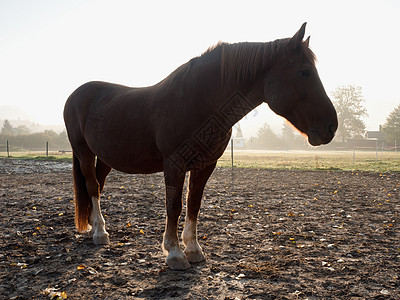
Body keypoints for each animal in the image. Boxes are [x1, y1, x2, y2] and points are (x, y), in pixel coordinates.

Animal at [63, 23, 338, 270]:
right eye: (304, 72)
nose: (331, 127)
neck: (200, 102)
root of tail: (76, 95)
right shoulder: (174, 164)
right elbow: (174, 205)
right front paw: (174, 253)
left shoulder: (205, 165)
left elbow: (193, 203)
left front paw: (193, 249)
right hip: (84, 152)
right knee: (93, 186)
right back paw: (100, 233)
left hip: (105, 157)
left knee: (97, 185)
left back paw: (95, 225)